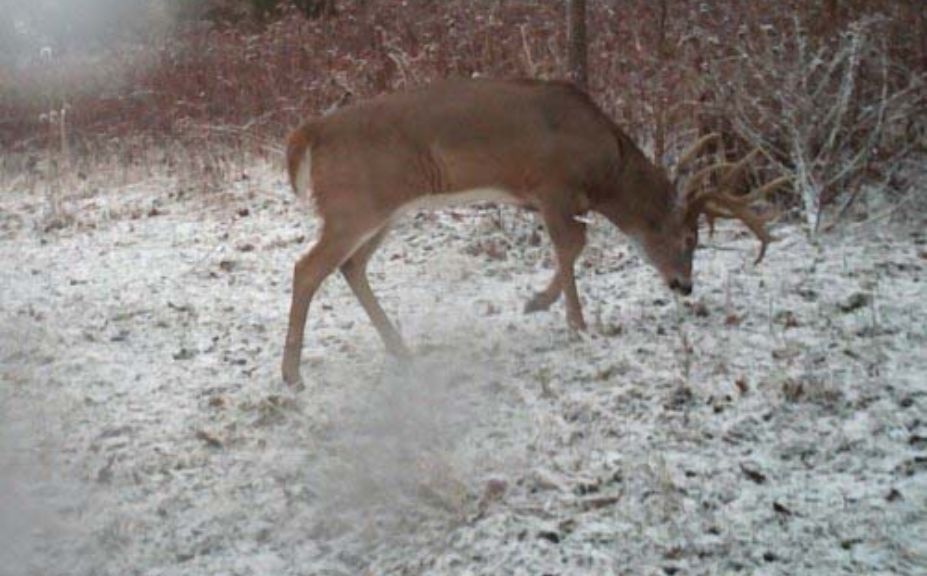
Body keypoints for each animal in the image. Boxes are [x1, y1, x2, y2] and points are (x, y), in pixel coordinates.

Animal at [280, 76, 788, 388]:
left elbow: (572, 246)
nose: (685, 286)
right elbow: (573, 245)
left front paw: (549, 308)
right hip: (355, 205)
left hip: (383, 212)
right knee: (307, 267)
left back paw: (401, 351)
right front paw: (566, 319)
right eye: (688, 240)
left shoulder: (551, 196)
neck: (606, 170)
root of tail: (310, 132)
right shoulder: (553, 184)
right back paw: (292, 375)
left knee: (350, 265)